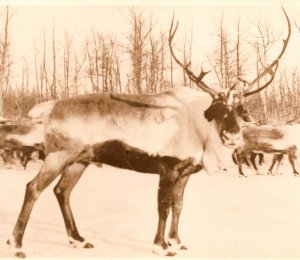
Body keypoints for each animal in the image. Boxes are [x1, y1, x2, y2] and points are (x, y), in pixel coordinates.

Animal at [8, 8, 290, 258]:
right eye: (220, 109)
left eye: (241, 109)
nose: (232, 135)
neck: (199, 129)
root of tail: (50, 107)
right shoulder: (167, 168)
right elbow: (163, 207)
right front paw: (161, 246)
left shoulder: (185, 173)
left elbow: (178, 206)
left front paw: (178, 241)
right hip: (58, 155)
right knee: (33, 188)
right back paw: (17, 244)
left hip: (80, 159)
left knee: (61, 191)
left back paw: (78, 239)